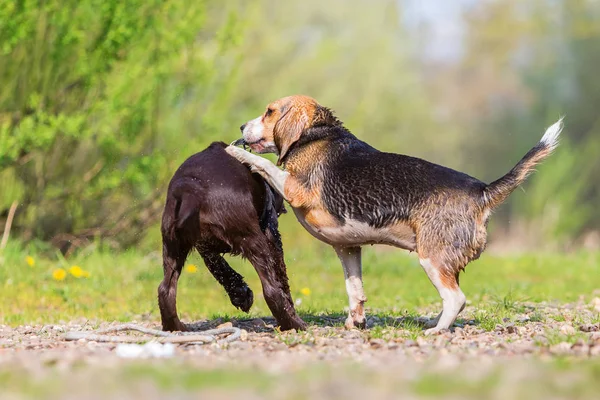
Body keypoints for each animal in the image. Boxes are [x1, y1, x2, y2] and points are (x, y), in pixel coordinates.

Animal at [226, 95, 564, 332]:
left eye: (269, 111)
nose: (241, 127)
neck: (317, 133)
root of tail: (481, 190)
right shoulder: (348, 247)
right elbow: (355, 290)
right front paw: (355, 323)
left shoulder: (296, 188)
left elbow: (266, 164)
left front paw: (235, 151)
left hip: (432, 258)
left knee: (456, 298)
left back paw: (438, 330)